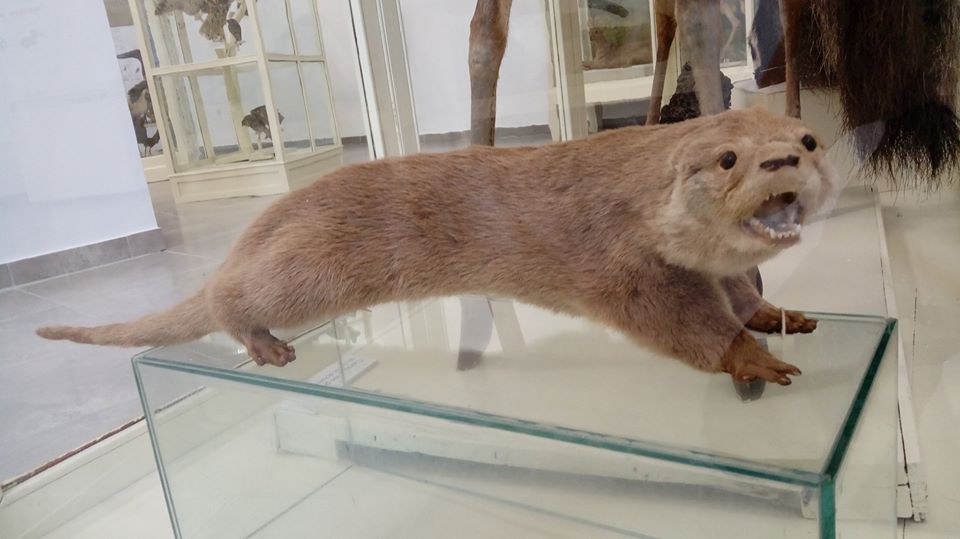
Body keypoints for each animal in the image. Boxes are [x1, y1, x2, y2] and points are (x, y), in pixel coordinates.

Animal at [35, 106, 832, 384]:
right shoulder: (621, 262)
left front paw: (775, 315)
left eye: (807, 138)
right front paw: (750, 357)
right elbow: (678, 319)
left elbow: (735, 290)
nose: (781, 162)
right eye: (728, 159)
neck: (642, 193)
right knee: (233, 296)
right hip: (309, 268)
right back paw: (264, 344)